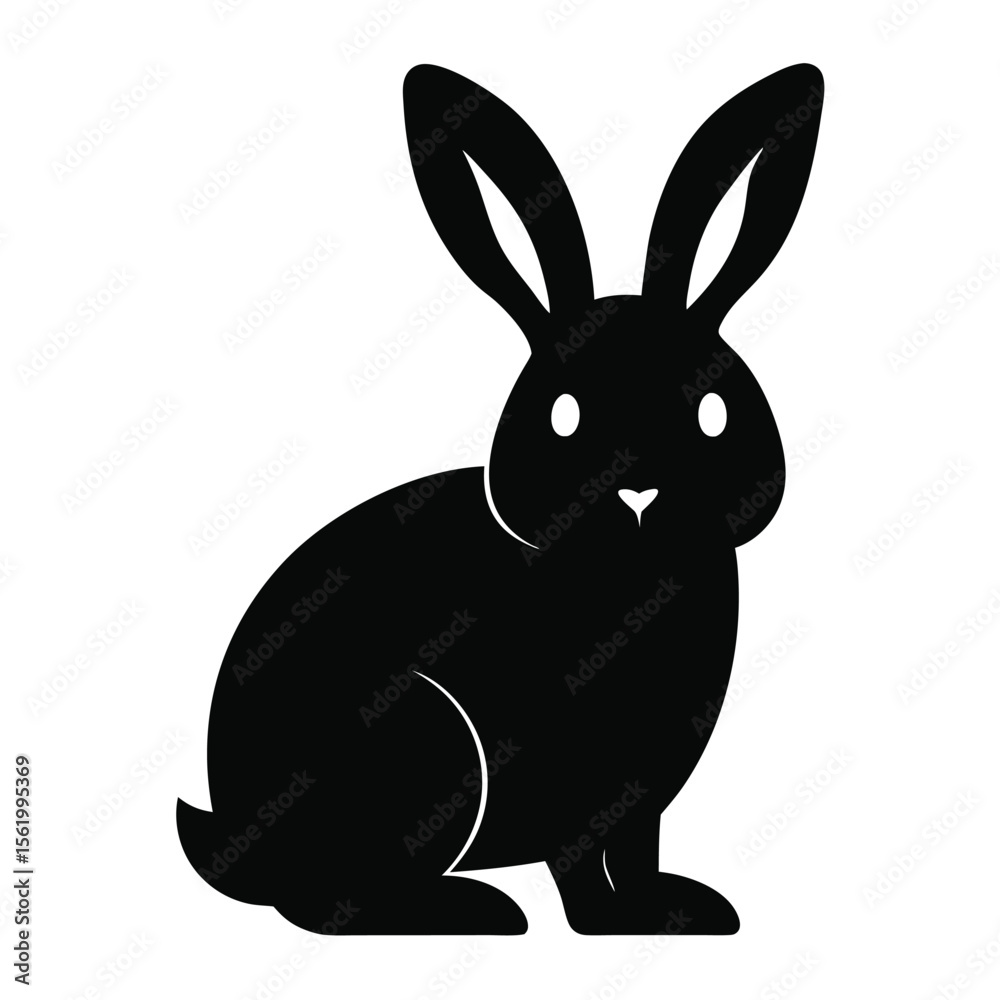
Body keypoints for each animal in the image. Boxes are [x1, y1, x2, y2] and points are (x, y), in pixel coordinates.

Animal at [177, 62, 823, 936]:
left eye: (713, 412)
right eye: (563, 415)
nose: (640, 487)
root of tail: (233, 840)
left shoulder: (643, 793)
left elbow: (638, 849)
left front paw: (675, 909)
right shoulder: (573, 779)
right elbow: (578, 861)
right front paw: (609, 924)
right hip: (423, 747)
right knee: (331, 902)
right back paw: (473, 908)